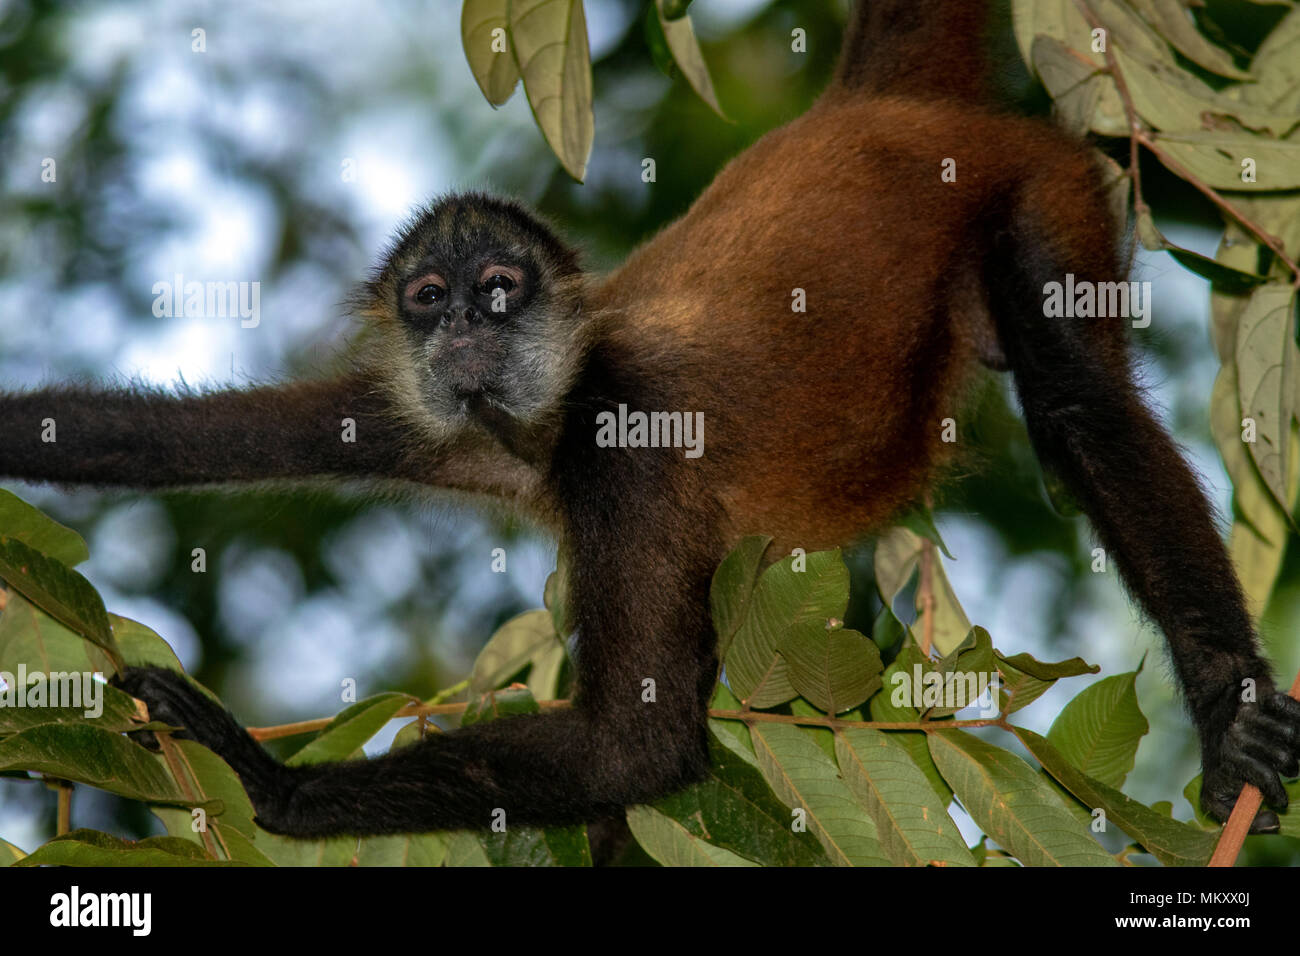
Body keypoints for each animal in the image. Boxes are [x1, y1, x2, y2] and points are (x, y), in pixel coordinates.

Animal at [2, 0, 1300, 837]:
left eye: (499, 289)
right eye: (427, 298)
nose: (463, 327)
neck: (551, 405)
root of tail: (874, 109)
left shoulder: (618, 441)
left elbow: (639, 746)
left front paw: (267, 784)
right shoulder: (435, 418)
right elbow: (143, 441)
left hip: (1041, 186)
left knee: (1077, 396)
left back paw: (1228, 704)